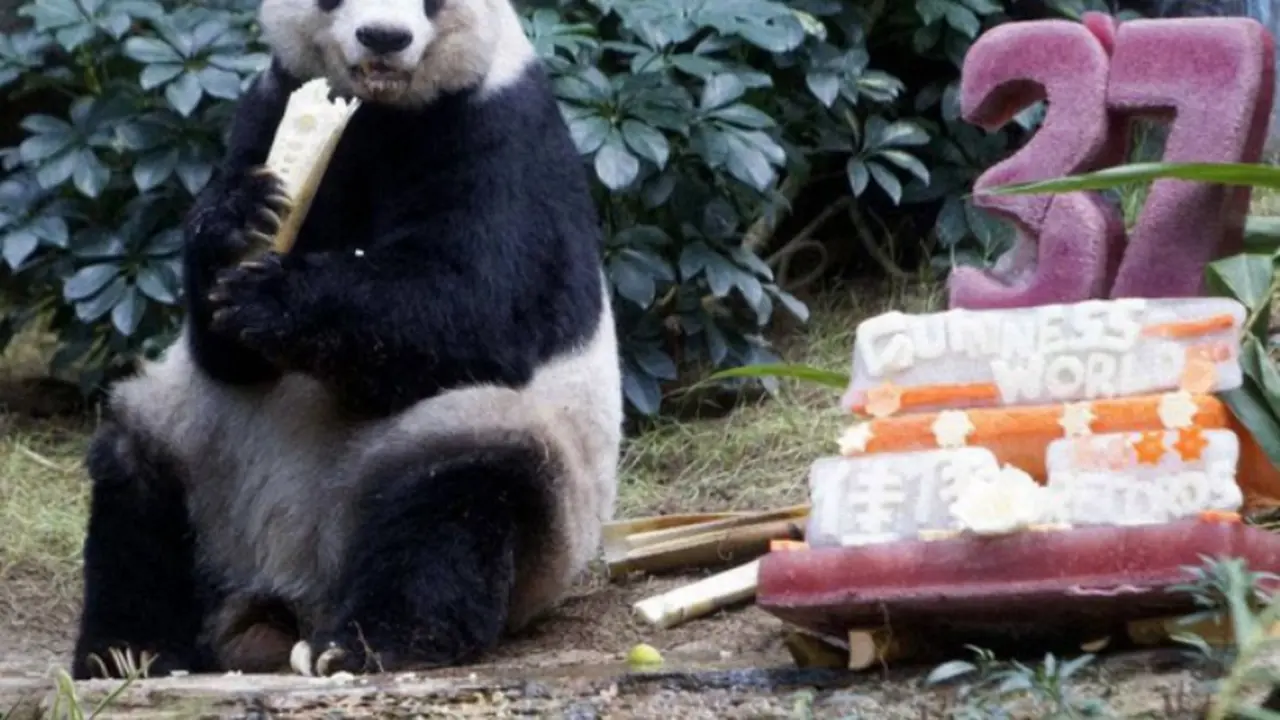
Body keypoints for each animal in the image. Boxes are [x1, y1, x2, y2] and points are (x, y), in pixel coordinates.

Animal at [69, 0, 623, 679]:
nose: (384, 36)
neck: (382, 110)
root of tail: (292, 592)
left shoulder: (501, 129)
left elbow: (476, 304)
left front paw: (278, 298)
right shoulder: (268, 103)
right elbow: (225, 353)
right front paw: (234, 222)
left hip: (519, 483)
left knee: (456, 494)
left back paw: (370, 641)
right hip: (201, 454)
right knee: (138, 477)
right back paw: (128, 652)